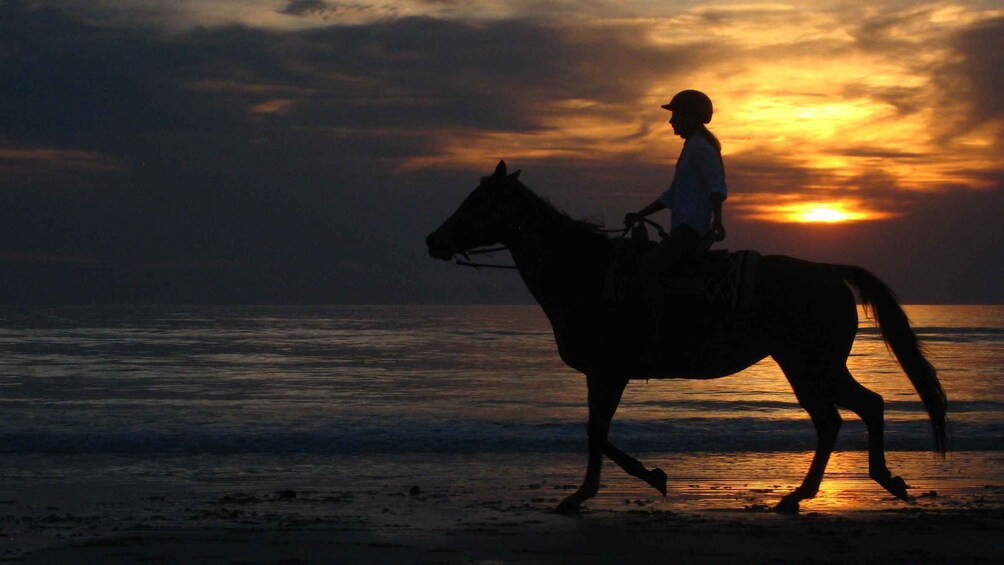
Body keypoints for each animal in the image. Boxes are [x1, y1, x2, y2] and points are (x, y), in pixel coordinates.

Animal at [425, 159, 947, 513]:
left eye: (477, 203)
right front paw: (628, 481)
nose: (433, 240)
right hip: (803, 367)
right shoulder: (603, 374)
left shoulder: (609, 371)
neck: (585, 272)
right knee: (834, 419)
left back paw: (877, 481)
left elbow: (597, 431)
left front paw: (617, 485)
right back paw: (802, 495)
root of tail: (829, 272)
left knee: (864, 407)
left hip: (815, 365)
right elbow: (597, 430)